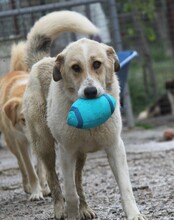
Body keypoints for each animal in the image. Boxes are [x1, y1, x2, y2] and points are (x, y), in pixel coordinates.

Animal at [22, 9, 146, 218]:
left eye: (97, 64)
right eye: (75, 68)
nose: (90, 92)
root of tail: (41, 61)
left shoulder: (115, 148)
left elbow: (125, 187)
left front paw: (134, 214)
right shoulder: (66, 153)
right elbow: (70, 192)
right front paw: (71, 214)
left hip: (80, 156)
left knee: (78, 180)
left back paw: (85, 209)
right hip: (45, 146)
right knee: (53, 179)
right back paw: (59, 210)